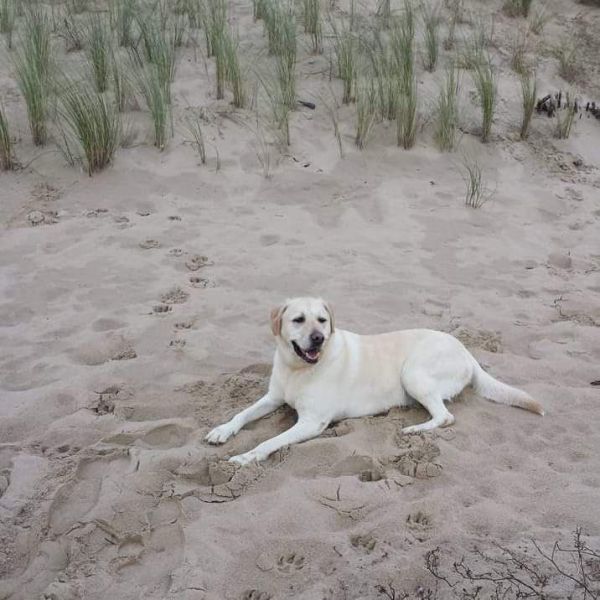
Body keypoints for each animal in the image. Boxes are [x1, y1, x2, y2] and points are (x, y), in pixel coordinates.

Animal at [206, 298, 544, 466]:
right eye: (298, 320)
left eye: (322, 321)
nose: (318, 338)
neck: (297, 369)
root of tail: (466, 351)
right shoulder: (273, 398)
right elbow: (241, 414)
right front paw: (222, 431)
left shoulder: (312, 422)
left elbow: (269, 441)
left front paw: (246, 456)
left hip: (413, 372)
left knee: (445, 416)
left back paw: (414, 429)